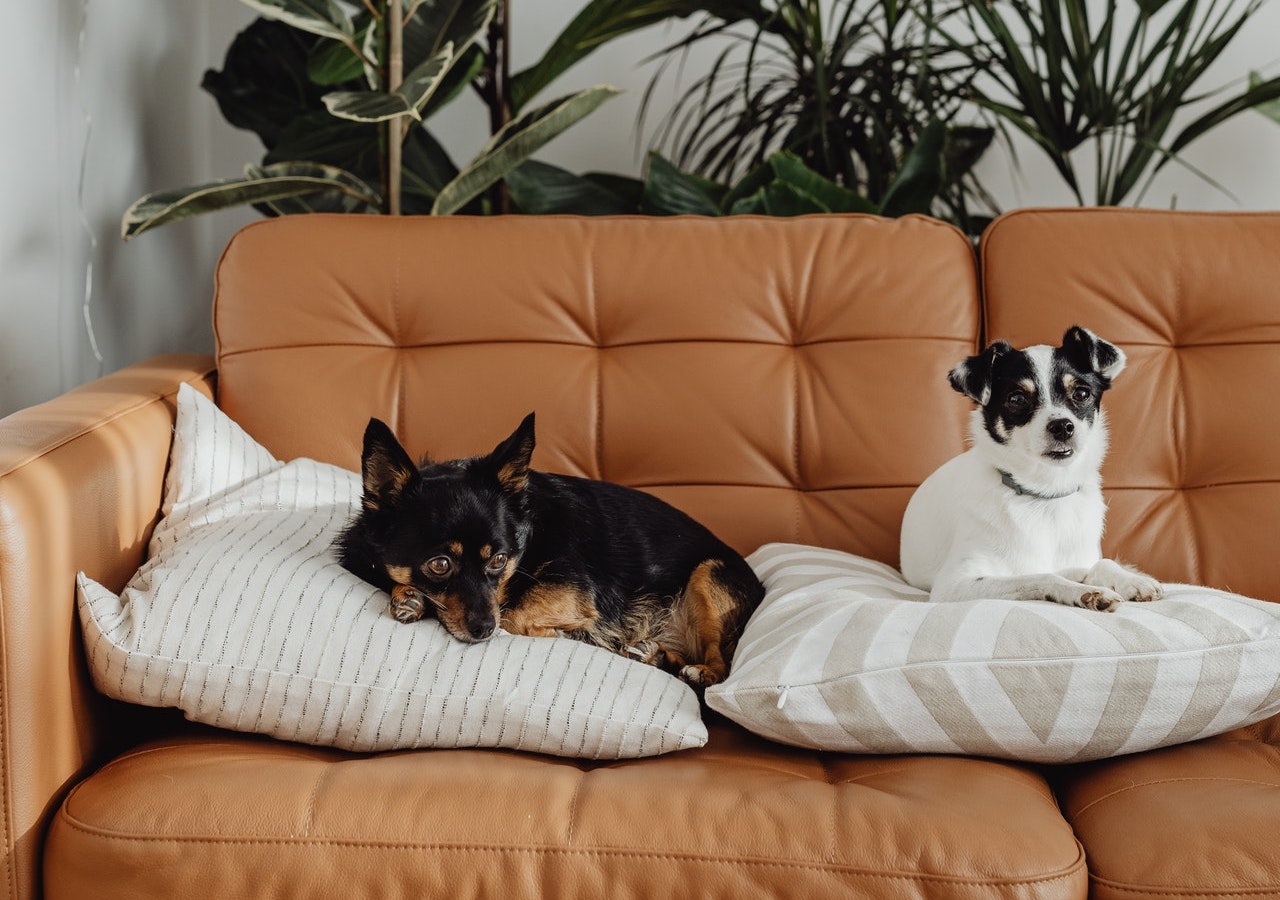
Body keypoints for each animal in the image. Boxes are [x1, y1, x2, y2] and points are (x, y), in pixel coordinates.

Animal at [335, 417, 762, 691]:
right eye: (439, 565)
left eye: (499, 560)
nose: (483, 630)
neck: (529, 539)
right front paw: (409, 596)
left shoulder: (573, 592)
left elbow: (514, 615)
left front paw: (566, 633)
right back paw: (656, 656)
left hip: (709, 575)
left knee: (722, 667)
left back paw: (695, 671)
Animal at [901, 327, 1162, 617]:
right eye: (1016, 399)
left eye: (1082, 394)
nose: (1063, 426)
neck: (1045, 495)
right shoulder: (954, 585)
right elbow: (1042, 575)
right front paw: (1087, 592)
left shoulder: (1077, 560)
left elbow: (1100, 563)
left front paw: (1131, 580)